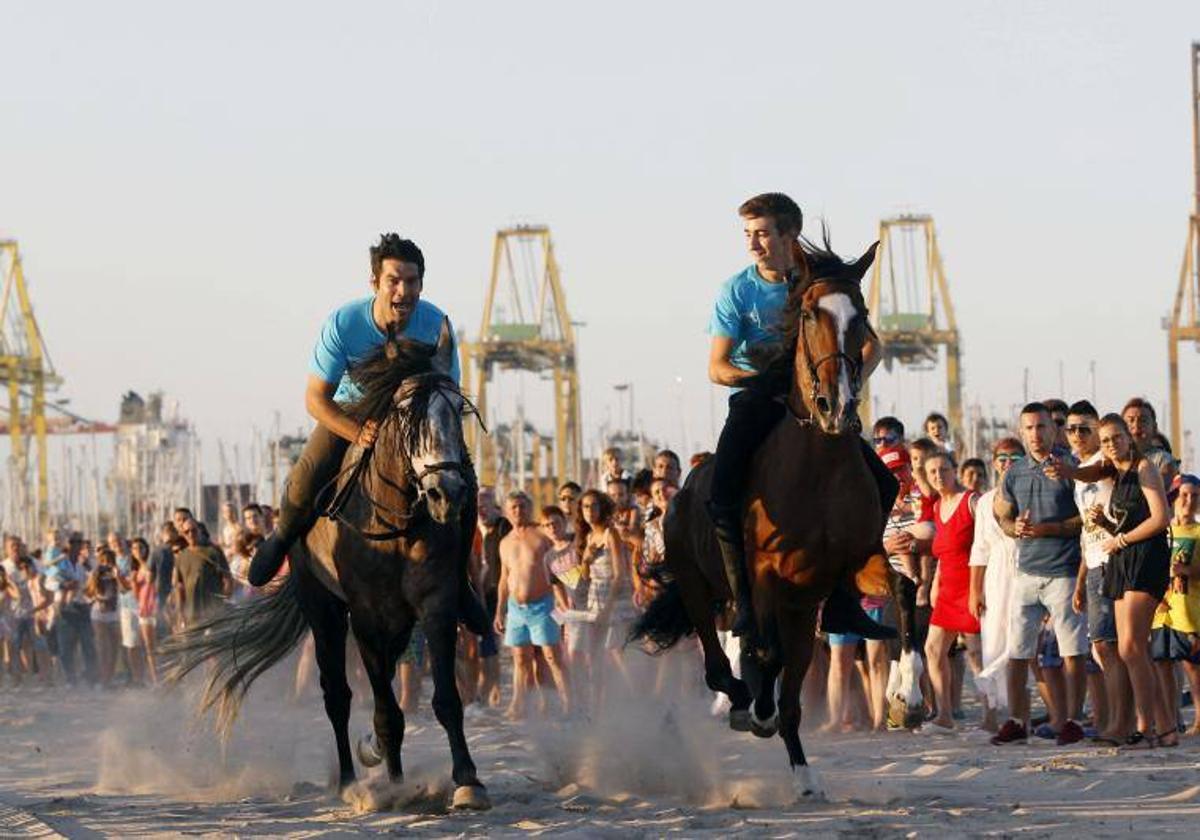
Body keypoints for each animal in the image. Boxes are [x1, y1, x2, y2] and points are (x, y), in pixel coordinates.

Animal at [628, 236, 892, 801]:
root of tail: (680, 495)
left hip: (794, 606)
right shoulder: (767, 575)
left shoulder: (826, 582)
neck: (816, 468)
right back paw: (741, 698)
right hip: (697, 583)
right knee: (717, 659)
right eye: (811, 313)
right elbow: (765, 656)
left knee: (778, 670)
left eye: (859, 315)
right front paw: (755, 707)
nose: (836, 407)